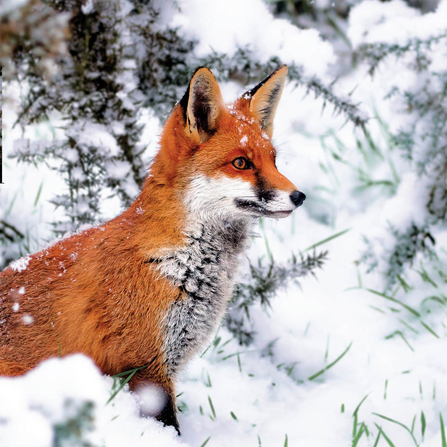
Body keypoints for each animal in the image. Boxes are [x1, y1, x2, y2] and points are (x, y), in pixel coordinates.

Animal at [0, 65, 304, 432]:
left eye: (274, 161)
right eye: (241, 163)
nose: (299, 196)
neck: (180, 263)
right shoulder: (145, 367)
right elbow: (169, 429)